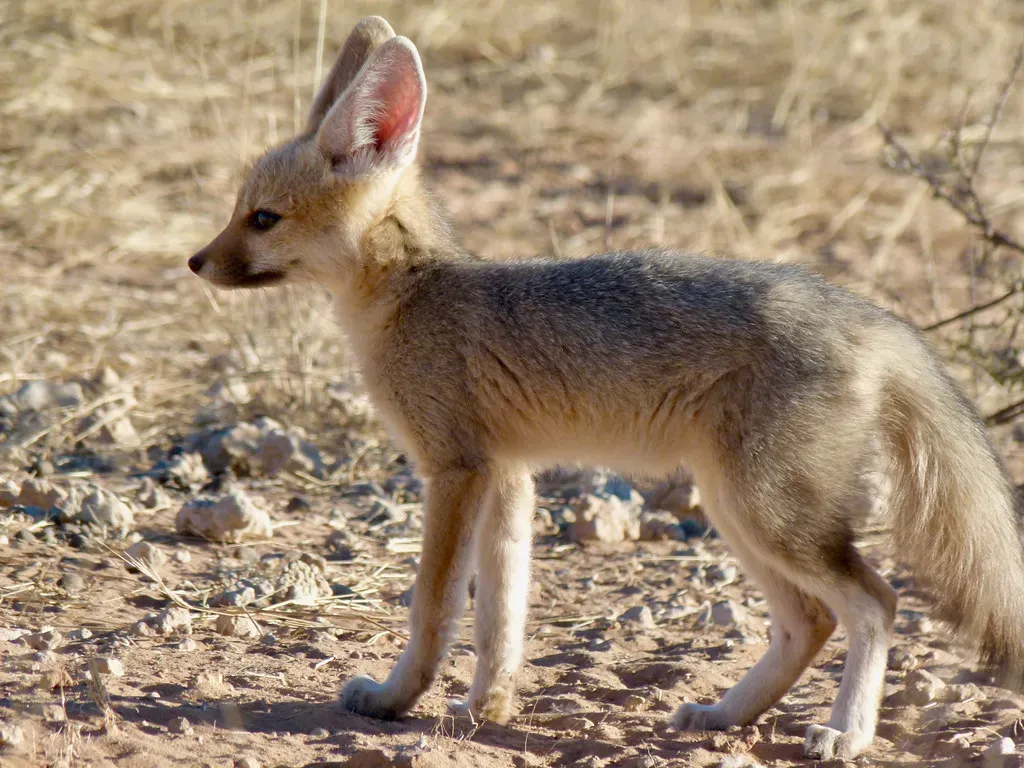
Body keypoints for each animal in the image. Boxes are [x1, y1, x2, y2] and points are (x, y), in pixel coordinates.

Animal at [187, 15, 1024, 760]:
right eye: (237, 211)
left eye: (262, 219)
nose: (196, 262)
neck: (416, 289)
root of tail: (874, 317)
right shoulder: (509, 474)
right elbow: (501, 616)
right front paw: (486, 706)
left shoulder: (454, 470)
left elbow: (433, 608)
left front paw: (398, 699)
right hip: (738, 509)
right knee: (810, 621)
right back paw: (725, 715)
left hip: (768, 514)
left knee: (876, 603)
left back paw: (845, 734)